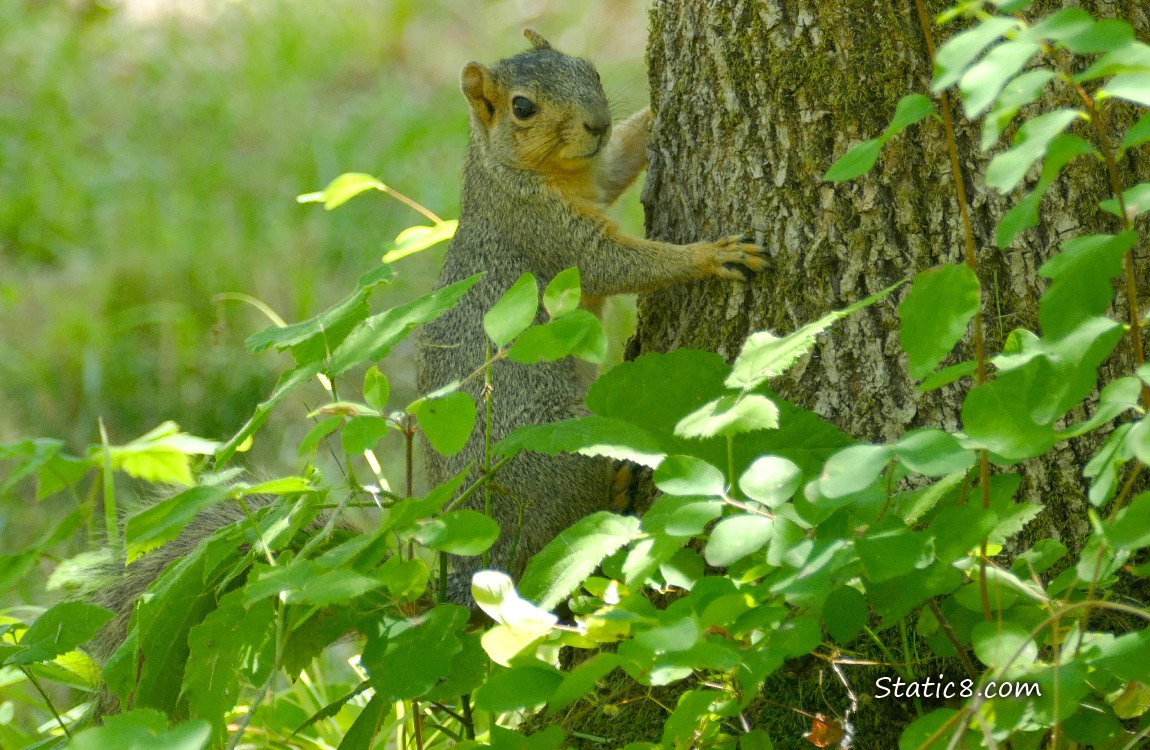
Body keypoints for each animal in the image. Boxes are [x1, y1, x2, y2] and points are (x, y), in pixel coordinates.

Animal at [418, 29, 765, 605]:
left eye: (591, 71)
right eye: (522, 107)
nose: (597, 123)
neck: (508, 172)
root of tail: (480, 557)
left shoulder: (599, 175)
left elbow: (622, 155)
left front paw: (652, 111)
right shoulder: (546, 230)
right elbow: (613, 264)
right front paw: (707, 256)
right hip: (568, 447)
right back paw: (619, 488)